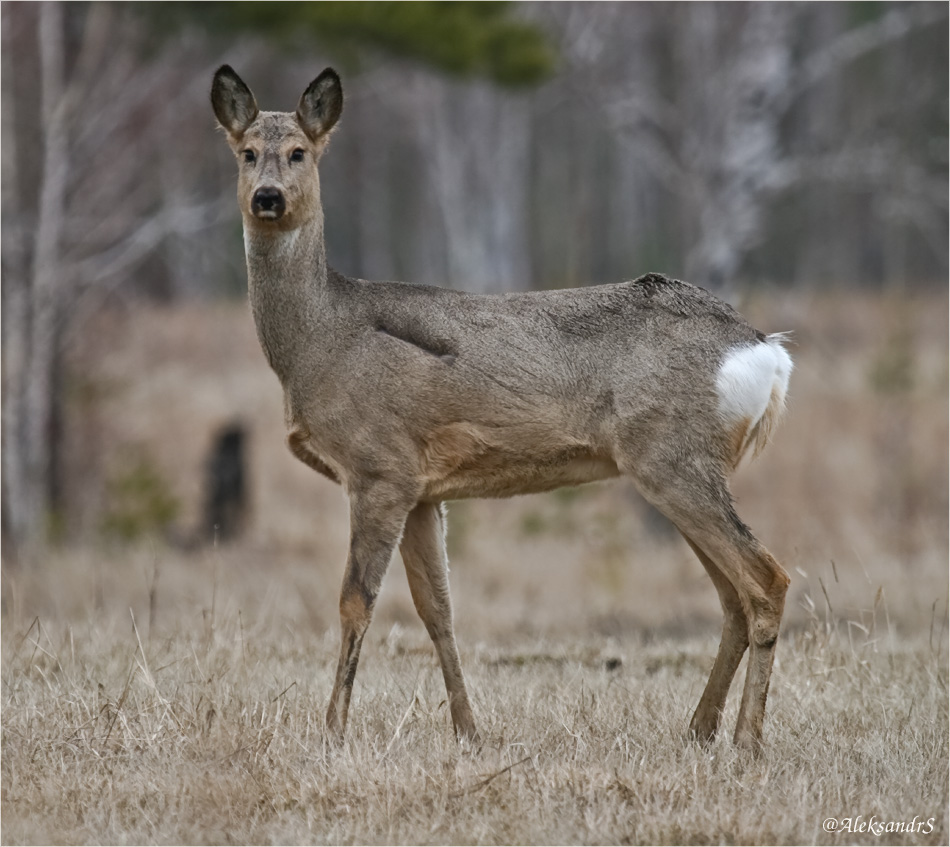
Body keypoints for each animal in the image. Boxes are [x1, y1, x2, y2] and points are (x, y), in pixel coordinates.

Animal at [210, 68, 796, 756]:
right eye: (247, 153)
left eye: (300, 152)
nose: (268, 198)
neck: (320, 341)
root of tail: (765, 351)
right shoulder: (423, 490)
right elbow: (437, 609)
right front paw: (468, 730)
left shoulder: (379, 467)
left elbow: (357, 601)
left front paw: (332, 731)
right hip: (678, 468)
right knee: (732, 594)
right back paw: (700, 729)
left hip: (673, 459)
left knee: (766, 580)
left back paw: (747, 739)